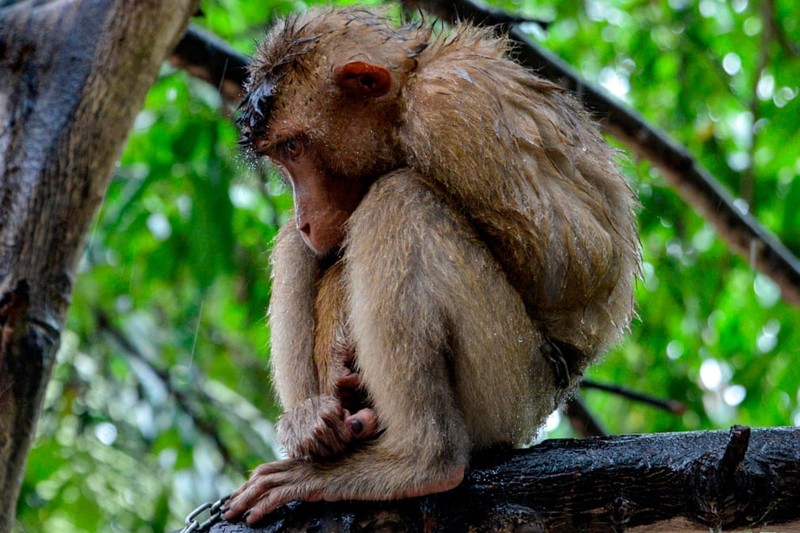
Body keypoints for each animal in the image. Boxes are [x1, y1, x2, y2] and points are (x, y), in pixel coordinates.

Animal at [222, 7, 640, 524]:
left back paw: (422, 460)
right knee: (304, 246)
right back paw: (317, 427)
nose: (304, 217)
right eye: (280, 156)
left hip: (511, 387)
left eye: (294, 149)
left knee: (402, 198)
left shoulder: (452, 111)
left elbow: (578, 264)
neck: (407, 92)